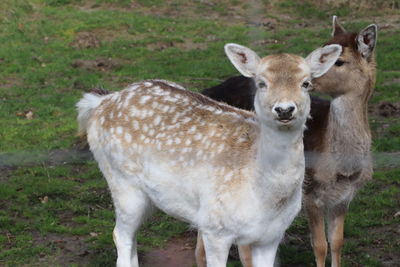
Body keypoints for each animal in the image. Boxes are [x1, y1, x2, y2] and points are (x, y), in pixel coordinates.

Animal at [76, 42, 340, 267]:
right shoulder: (215, 227)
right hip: (121, 183)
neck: (266, 200)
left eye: (306, 83)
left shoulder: (272, 235)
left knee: (131, 241)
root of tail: (101, 101)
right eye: (261, 83)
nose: (284, 110)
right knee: (120, 235)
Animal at [198, 16, 376, 267]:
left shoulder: (345, 196)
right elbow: (319, 245)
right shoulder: (310, 190)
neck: (340, 167)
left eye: (339, 61)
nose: (310, 80)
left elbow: (337, 242)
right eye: (324, 46)